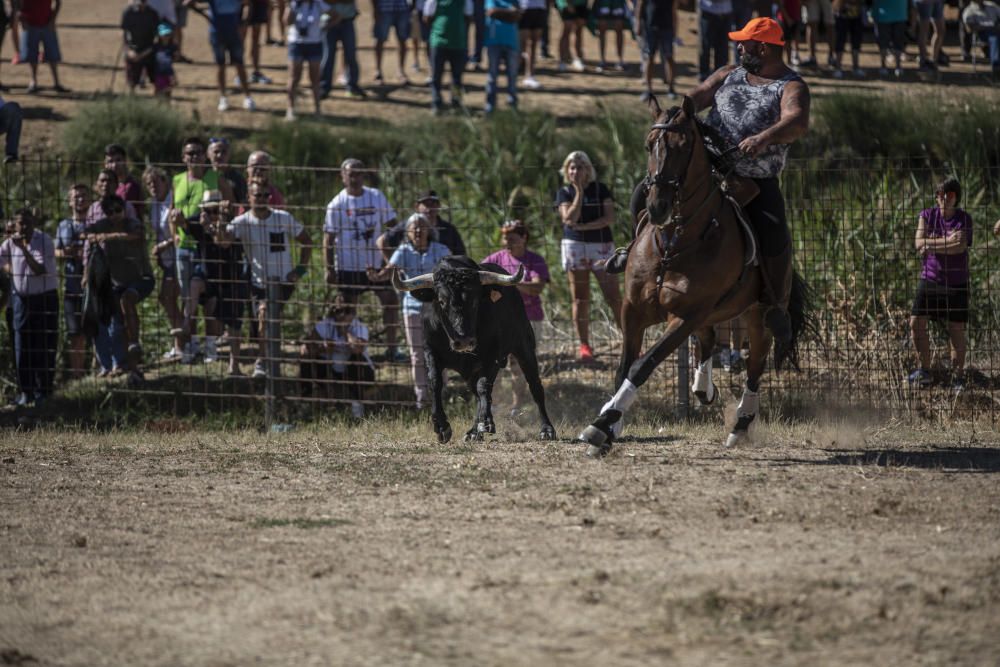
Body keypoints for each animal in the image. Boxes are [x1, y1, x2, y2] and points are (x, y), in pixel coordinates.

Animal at [392, 256, 564, 444]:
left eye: (475, 301)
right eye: (442, 301)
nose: (463, 340)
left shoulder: (492, 355)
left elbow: (484, 387)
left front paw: (486, 422)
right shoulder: (430, 350)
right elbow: (435, 383)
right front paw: (442, 427)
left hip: (525, 348)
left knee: (534, 388)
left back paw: (546, 430)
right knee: (477, 395)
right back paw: (474, 432)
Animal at [580, 94, 804, 456]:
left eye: (684, 148)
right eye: (649, 145)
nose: (657, 206)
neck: (675, 241)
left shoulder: (685, 315)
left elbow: (643, 365)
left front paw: (601, 425)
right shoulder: (634, 310)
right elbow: (623, 367)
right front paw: (610, 424)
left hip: (757, 316)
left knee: (755, 366)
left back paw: (741, 425)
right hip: (713, 313)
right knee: (710, 340)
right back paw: (703, 389)